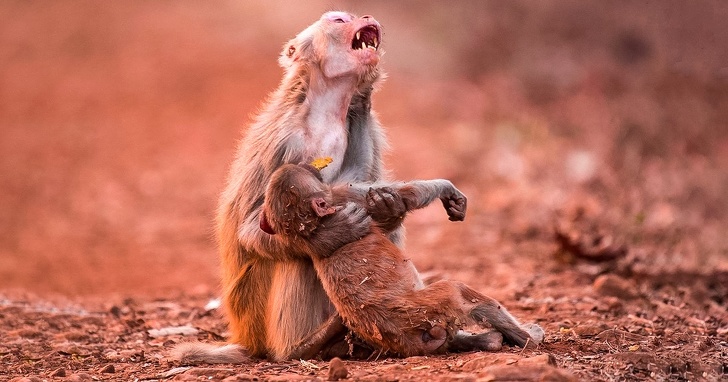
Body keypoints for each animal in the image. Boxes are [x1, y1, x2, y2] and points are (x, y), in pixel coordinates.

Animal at [258, 163, 544, 356]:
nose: (308, 164)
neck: (313, 226)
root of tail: (407, 337)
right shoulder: (342, 196)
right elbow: (409, 194)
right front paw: (446, 188)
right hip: (429, 307)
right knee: (458, 291)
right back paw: (528, 337)